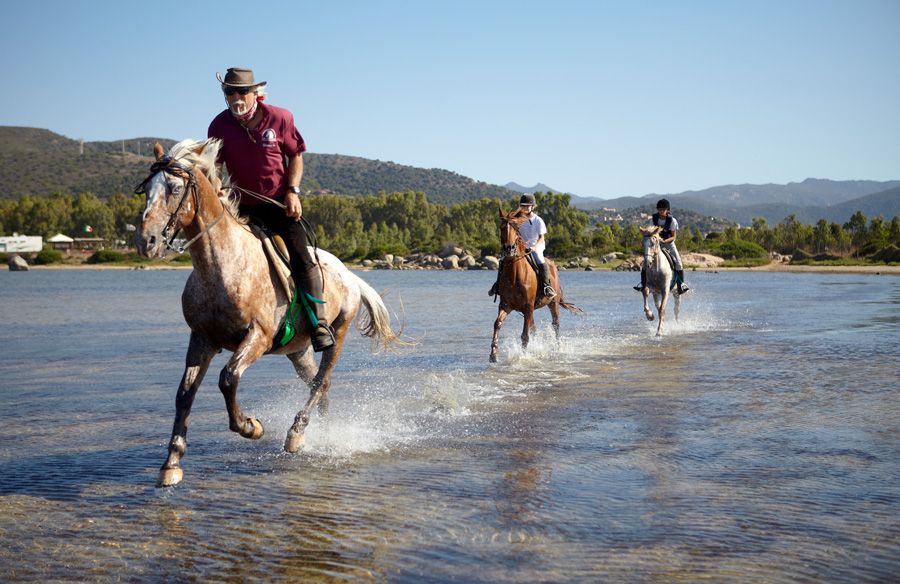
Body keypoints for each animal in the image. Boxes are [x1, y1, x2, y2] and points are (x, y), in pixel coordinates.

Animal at [135, 138, 401, 487]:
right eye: (146, 189)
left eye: (175, 188)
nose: (146, 241)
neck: (221, 265)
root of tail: (350, 275)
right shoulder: (201, 339)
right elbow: (184, 394)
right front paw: (171, 463)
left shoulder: (257, 337)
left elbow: (228, 379)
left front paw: (251, 426)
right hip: (298, 351)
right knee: (320, 385)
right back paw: (323, 433)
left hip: (337, 335)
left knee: (321, 381)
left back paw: (296, 434)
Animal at [489, 207, 580, 362]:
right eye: (501, 228)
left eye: (516, 228)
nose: (509, 249)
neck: (515, 276)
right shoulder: (506, 305)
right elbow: (497, 324)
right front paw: (493, 354)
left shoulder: (528, 307)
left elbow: (525, 336)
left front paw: (524, 357)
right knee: (534, 328)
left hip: (553, 303)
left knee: (555, 324)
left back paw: (558, 348)